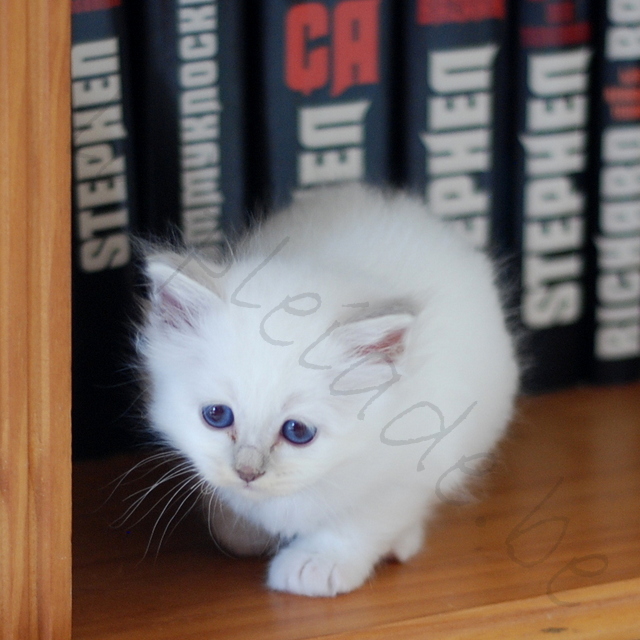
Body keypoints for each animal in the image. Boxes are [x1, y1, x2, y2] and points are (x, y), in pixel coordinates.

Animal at [138, 182, 516, 596]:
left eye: (297, 431)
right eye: (217, 416)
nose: (247, 472)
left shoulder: (413, 465)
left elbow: (363, 520)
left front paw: (316, 564)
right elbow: (232, 525)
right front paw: (243, 530)